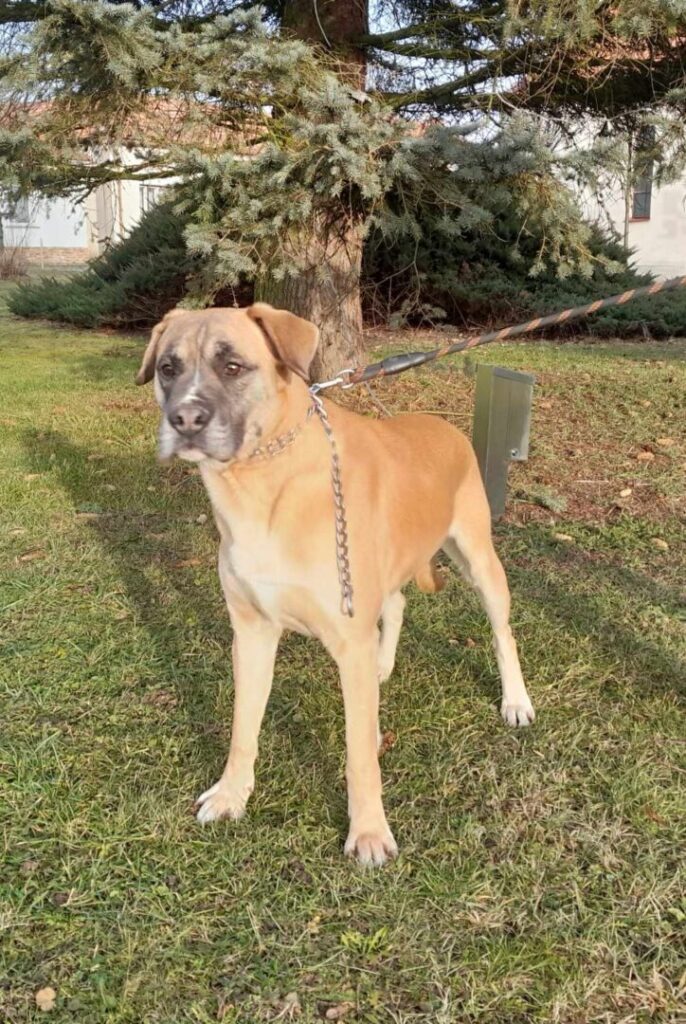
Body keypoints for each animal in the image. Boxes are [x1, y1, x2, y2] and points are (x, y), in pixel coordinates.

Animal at [136, 303, 535, 865]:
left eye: (232, 366)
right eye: (168, 368)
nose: (185, 420)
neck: (265, 480)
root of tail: (445, 425)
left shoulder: (346, 641)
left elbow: (359, 753)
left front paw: (368, 831)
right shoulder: (252, 633)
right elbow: (242, 727)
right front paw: (232, 795)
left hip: (480, 560)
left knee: (502, 634)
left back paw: (515, 701)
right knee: (397, 603)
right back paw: (384, 665)